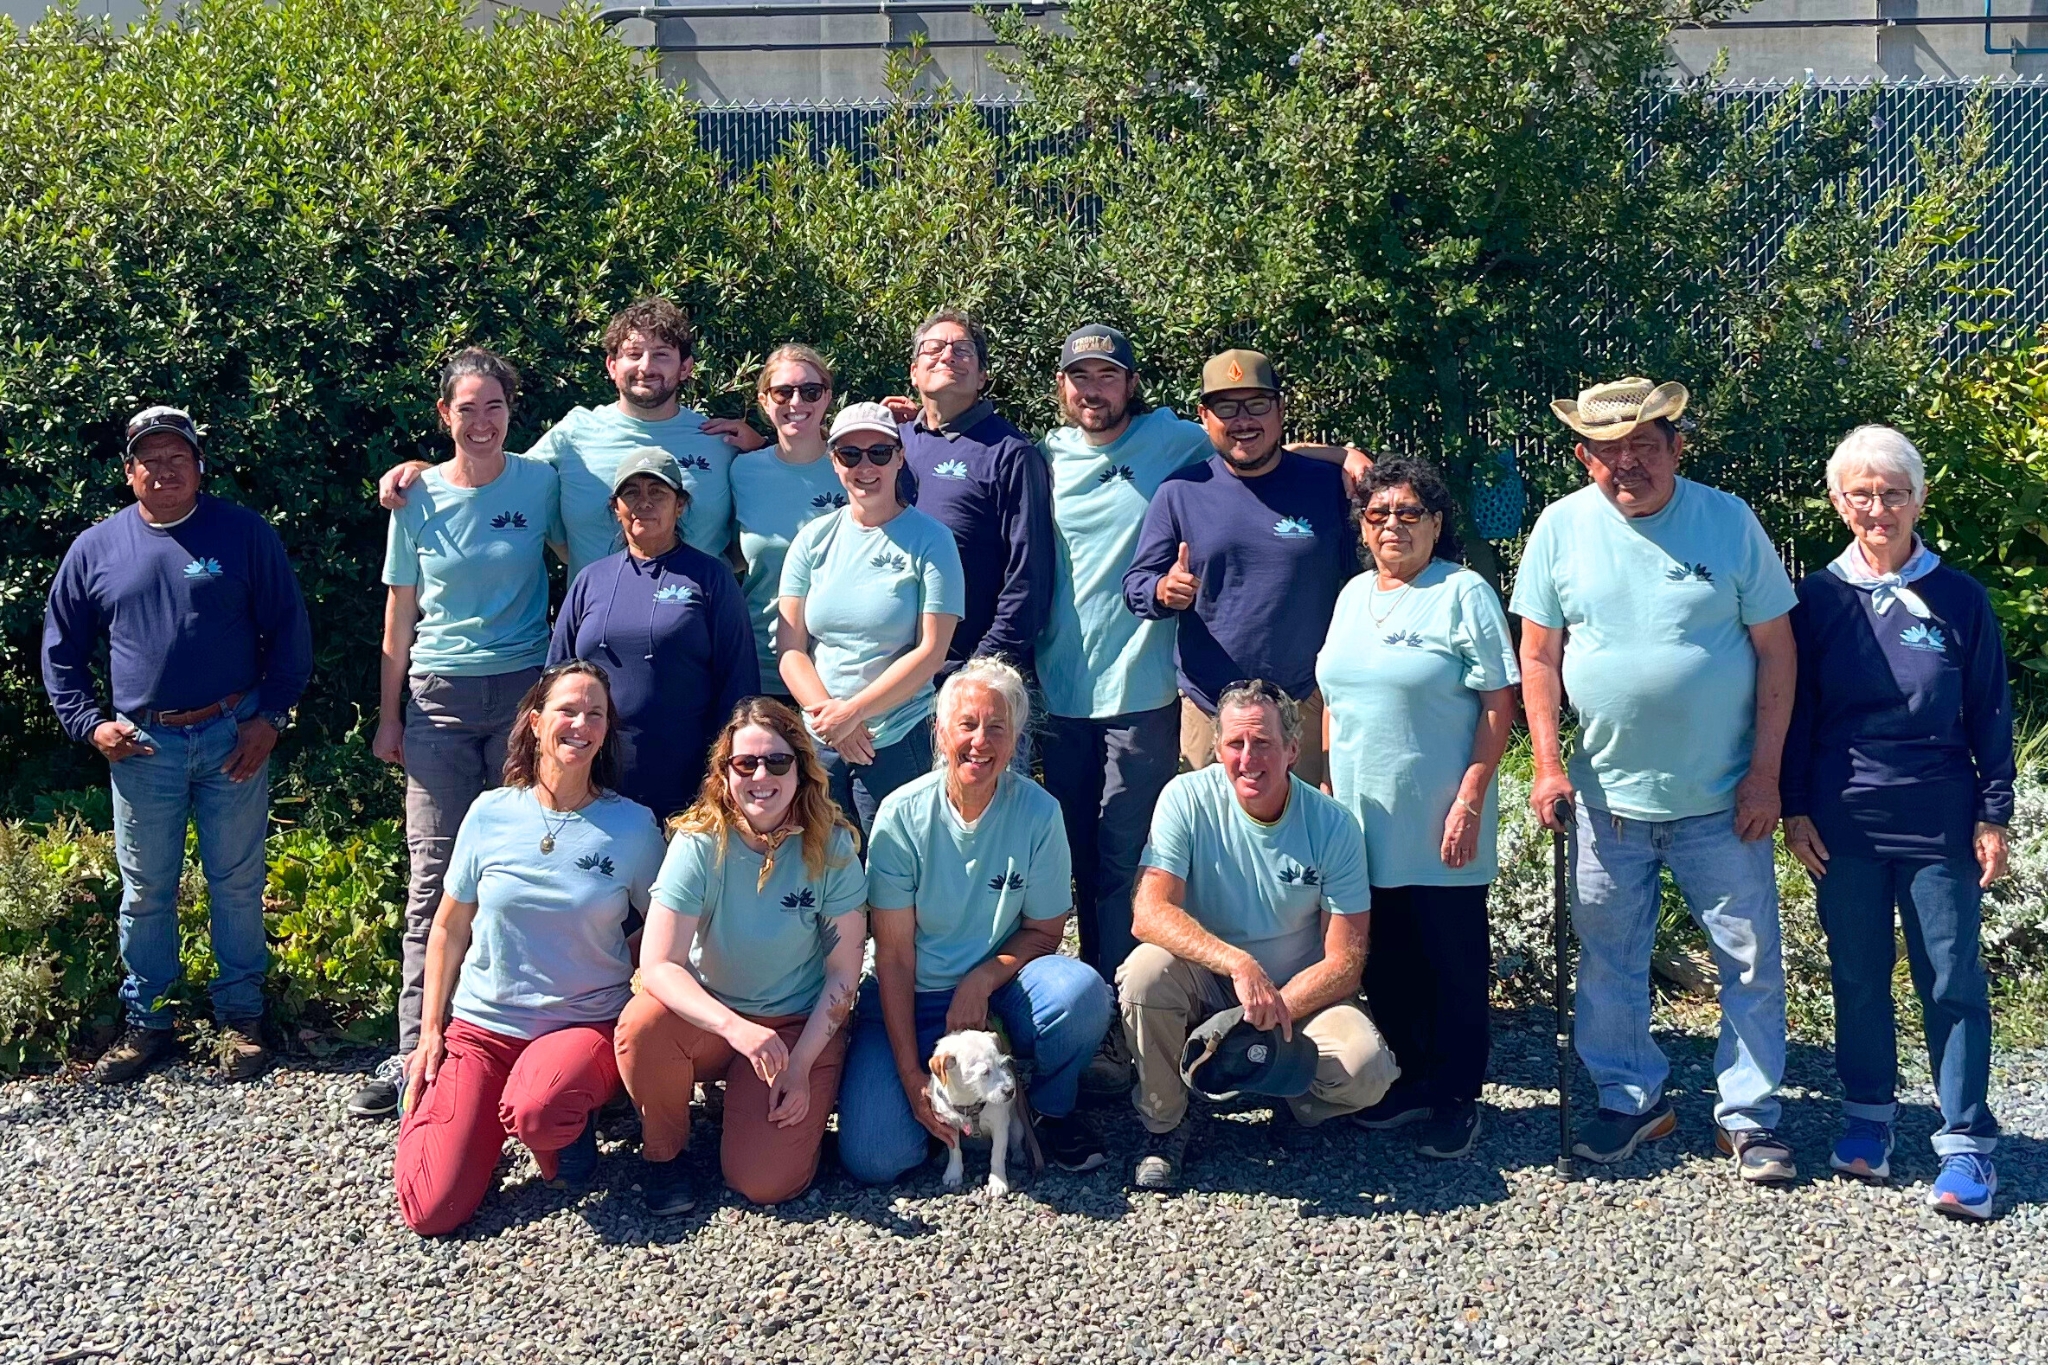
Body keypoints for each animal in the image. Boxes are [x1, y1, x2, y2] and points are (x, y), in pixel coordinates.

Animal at [929, 1035, 1032, 1195]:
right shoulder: (949, 1125)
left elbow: (997, 1155)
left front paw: (997, 1183)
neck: (969, 1104)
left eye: (1002, 1065)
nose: (1010, 1091)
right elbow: (954, 1150)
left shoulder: (1000, 1127)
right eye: (985, 1072)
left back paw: (1019, 1156)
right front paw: (953, 1173)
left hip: (1017, 1127)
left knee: (1015, 1142)